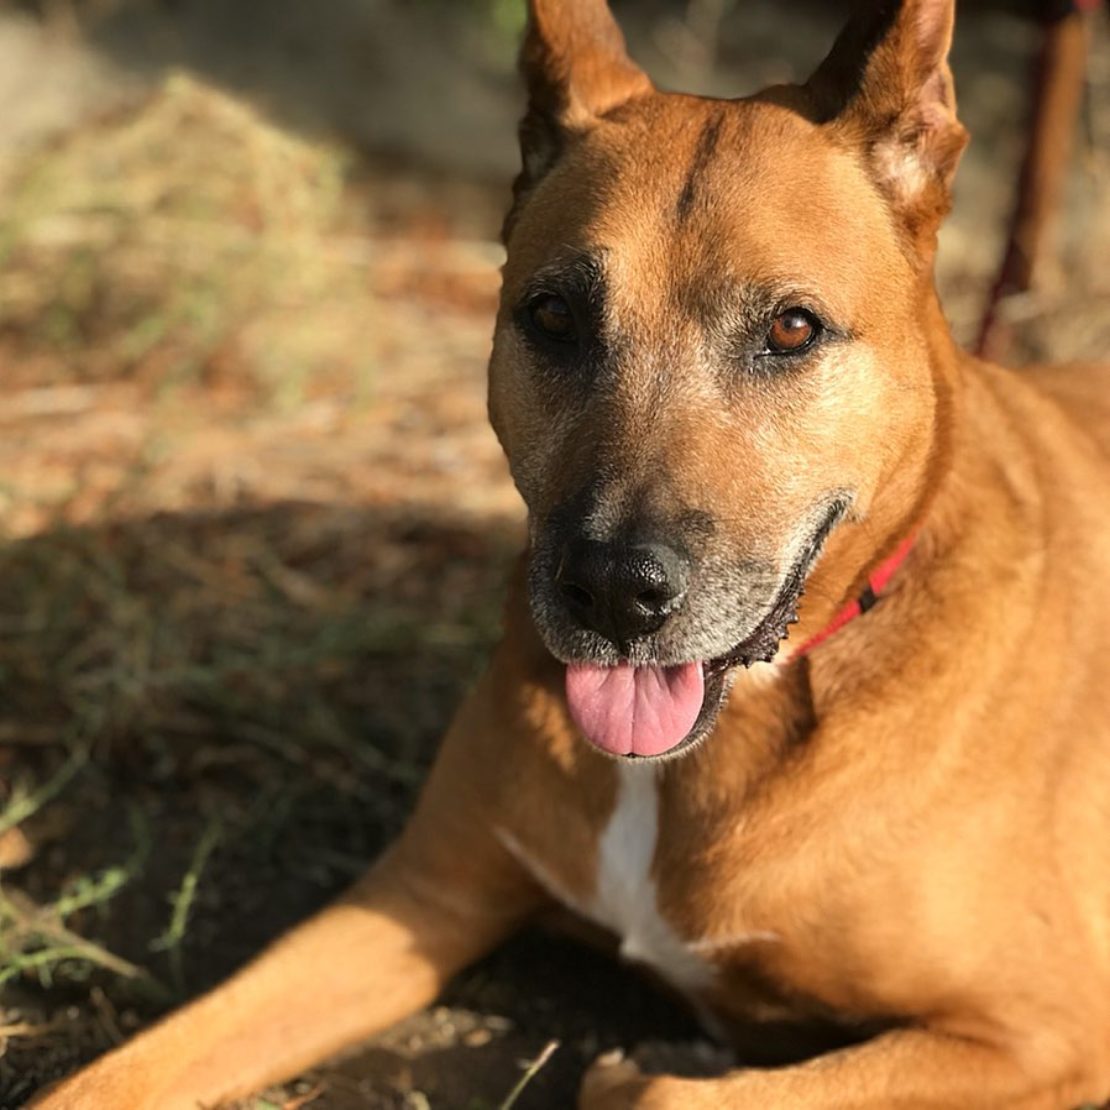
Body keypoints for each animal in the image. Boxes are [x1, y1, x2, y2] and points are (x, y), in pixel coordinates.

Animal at [30, 2, 1110, 1110]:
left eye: (791, 328)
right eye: (552, 316)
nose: (614, 593)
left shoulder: (1041, 1034)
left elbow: (650, 1090)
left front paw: (659, 1064)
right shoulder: (414, 900)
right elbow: (115, 1074)